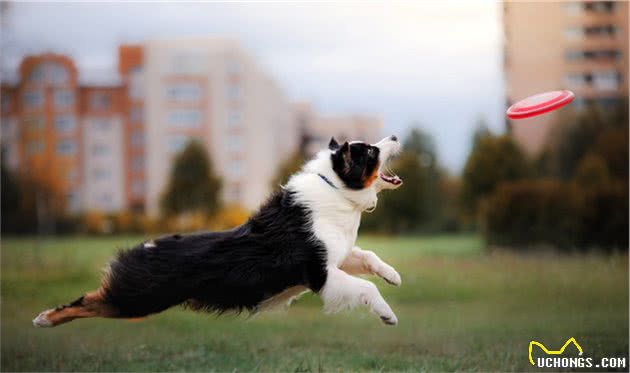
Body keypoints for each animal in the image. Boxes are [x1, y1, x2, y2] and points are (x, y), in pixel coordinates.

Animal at [33, 134, 404, 326]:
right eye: (370, 151)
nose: (395, 136)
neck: (336, 188)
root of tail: (146, 246)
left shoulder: (336, 255)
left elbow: (368, 256)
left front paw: (394, 275)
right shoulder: (319, 273)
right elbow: (366, 288)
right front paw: (387, 314)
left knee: (93, 299)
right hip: (138, 299)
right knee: (89, 300)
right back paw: (44, 318)